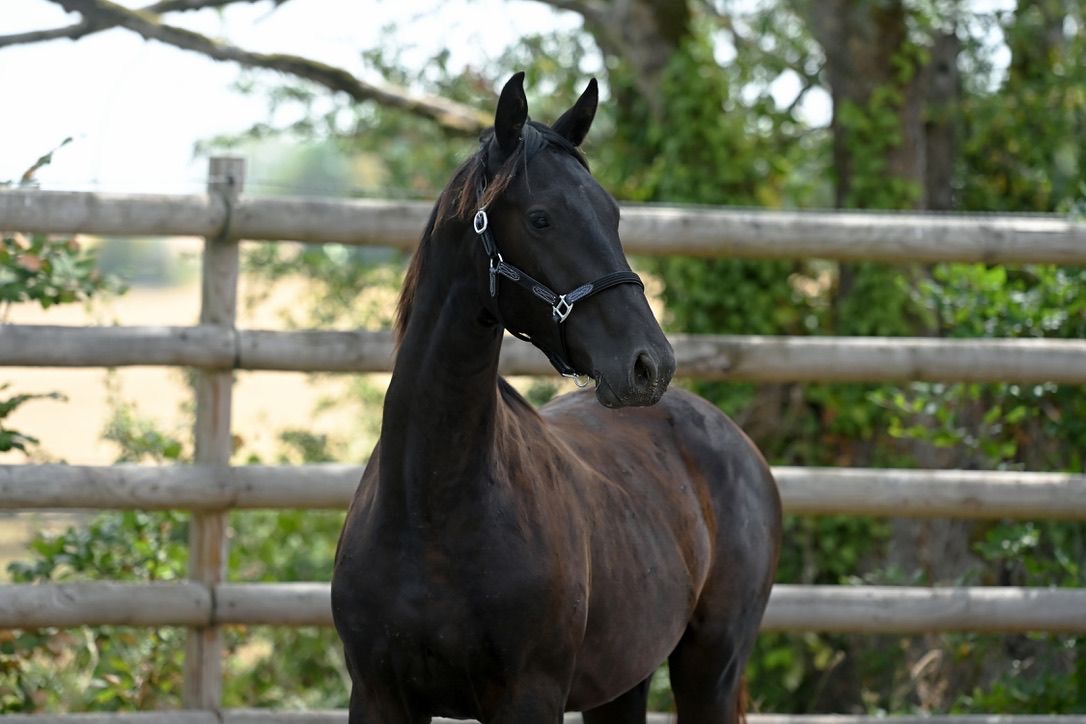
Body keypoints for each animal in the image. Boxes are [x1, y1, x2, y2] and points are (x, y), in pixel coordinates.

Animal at [331, 72, 782, 724]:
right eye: (541, 219)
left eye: (613, 215)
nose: (649, 365)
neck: (428, 504)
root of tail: (737, 443)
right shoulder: (377, 695)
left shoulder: (529, 696)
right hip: (623, 681)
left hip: (712, 672)